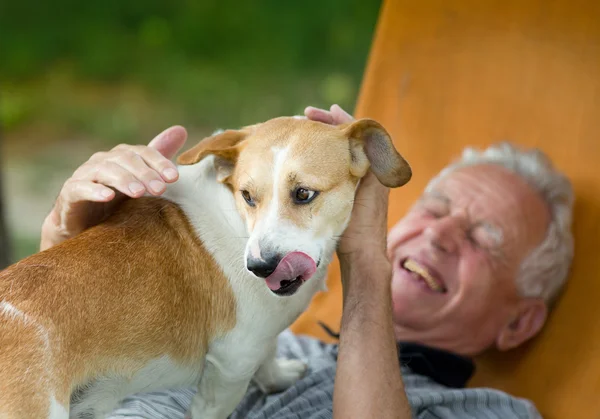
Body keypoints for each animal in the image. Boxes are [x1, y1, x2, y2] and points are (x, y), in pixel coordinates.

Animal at [0, 115, 410, 419]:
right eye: (248, 196)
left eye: (304, 194)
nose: (260, 267)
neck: (235, 219)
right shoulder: (230, 367)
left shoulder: (255, 342)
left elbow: (269, 352)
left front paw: (277, 377)